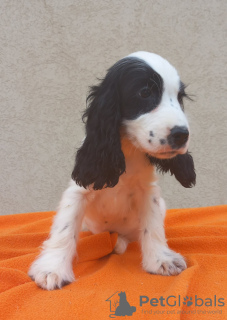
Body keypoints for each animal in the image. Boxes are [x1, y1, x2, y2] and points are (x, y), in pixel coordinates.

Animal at [27, 50, 195, 290]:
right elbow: (64, 229)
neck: (127, 151)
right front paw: (52, 269)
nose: (182, 135)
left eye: (180, 98)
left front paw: (161, 259)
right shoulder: (78, 191)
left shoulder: (148, 193)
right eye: (145, 92)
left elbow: (153, 227)